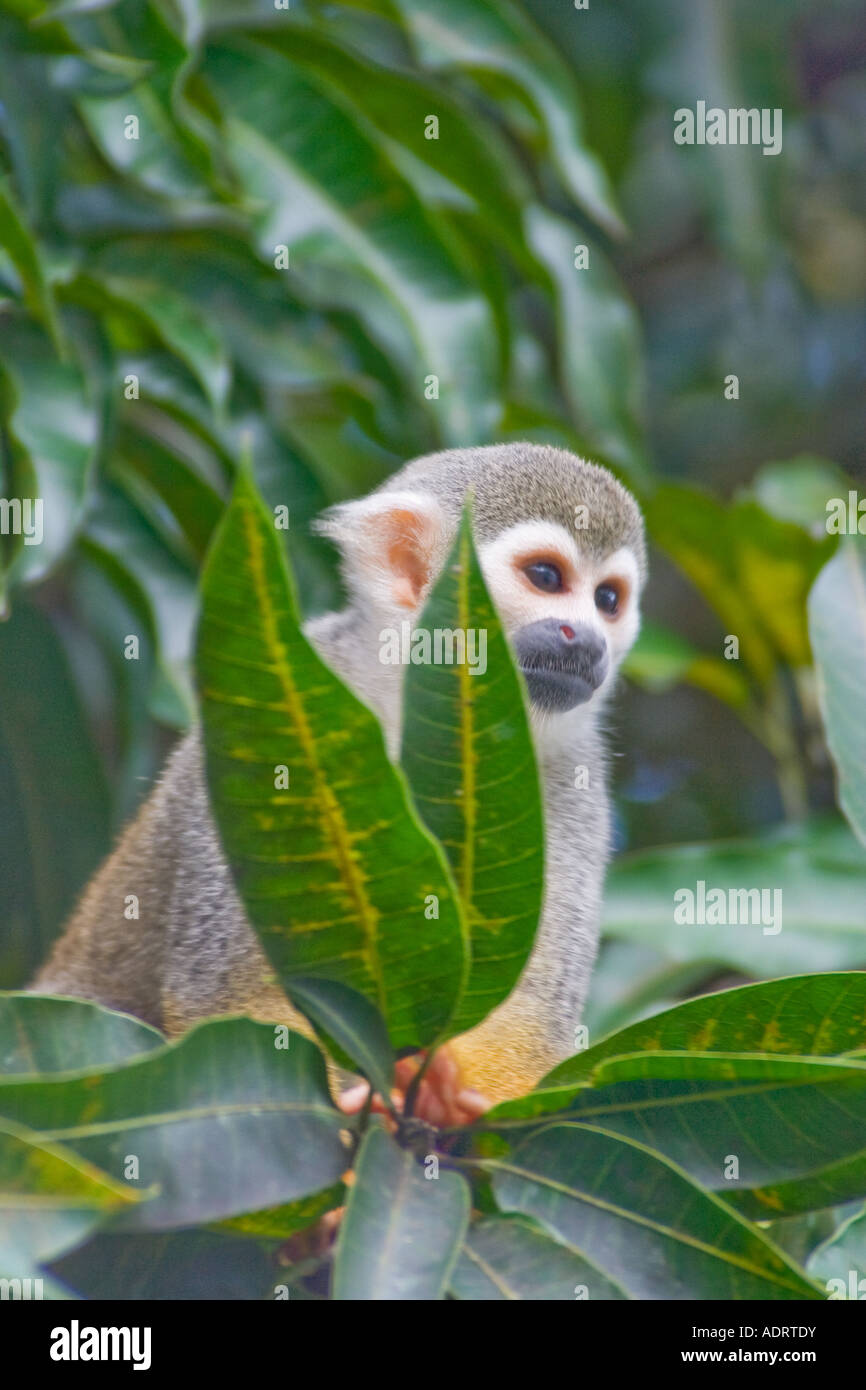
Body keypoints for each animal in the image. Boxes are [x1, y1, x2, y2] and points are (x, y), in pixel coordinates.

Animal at [32, 450, 644, 1123]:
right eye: (546, 576)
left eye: (608, 600)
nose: (589, 641)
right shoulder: (271, 719)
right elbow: (238, 995)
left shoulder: (570, 780)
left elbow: (528, 1026)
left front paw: (451, 1106)